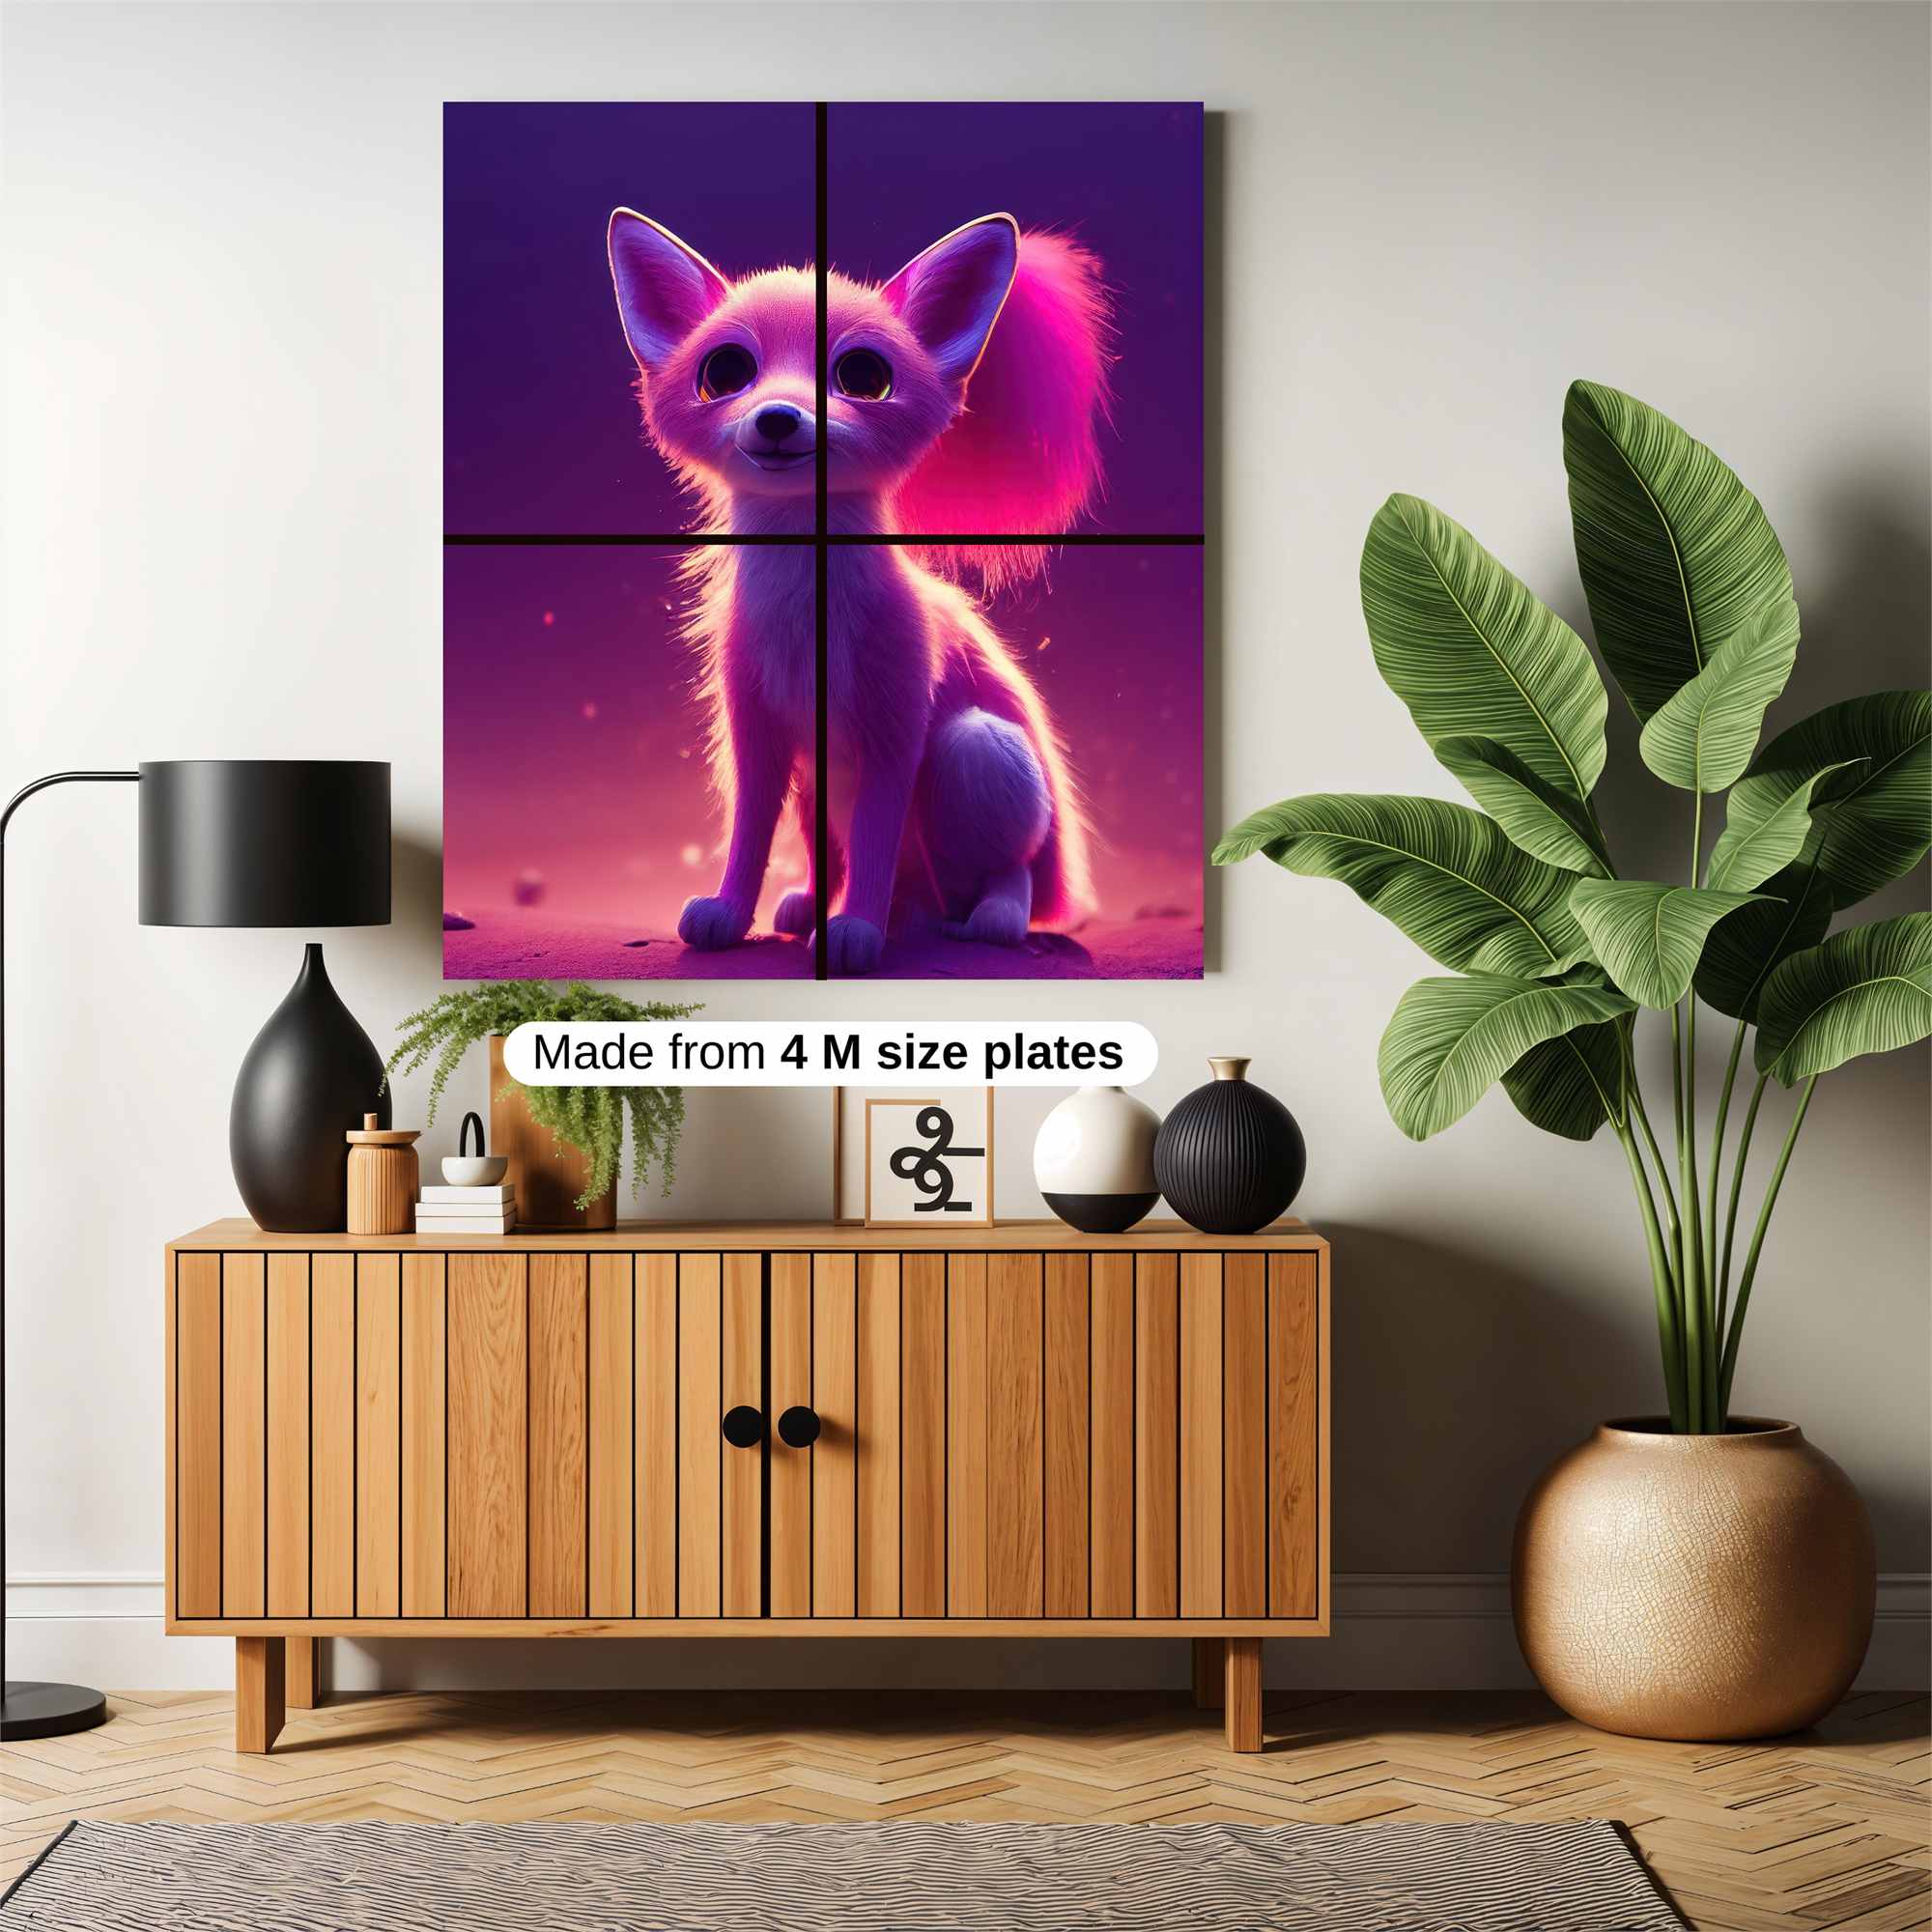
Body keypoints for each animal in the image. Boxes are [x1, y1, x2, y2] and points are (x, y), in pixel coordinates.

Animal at [606, 207, 1111, 975]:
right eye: (724, 373)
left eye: (864, 377)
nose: (779, 418)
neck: (804, 608)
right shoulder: (760, 731)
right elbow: (753, 836)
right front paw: (734, 913)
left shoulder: (894, 729)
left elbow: (873, 839)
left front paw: (857, 930)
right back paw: (821, 906)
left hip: (977, 748)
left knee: (1009, 874)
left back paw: (979, 917)